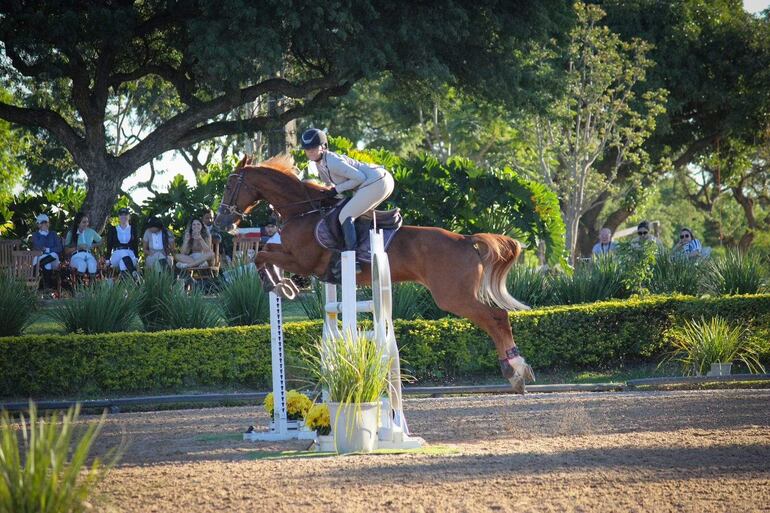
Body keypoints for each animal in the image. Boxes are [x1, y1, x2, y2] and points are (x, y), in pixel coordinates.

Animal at [212, 154, 536, 390]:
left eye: (229, 186)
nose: (220, 224)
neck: (302, 211)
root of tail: (466, 240)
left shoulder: (303, 261)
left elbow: (262, 255)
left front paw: (278, 285)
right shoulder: (292, 255)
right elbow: (265, 252)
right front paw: (283, 285)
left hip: (453, 297)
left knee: (497, 318)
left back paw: (515, 370)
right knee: (496, 319)